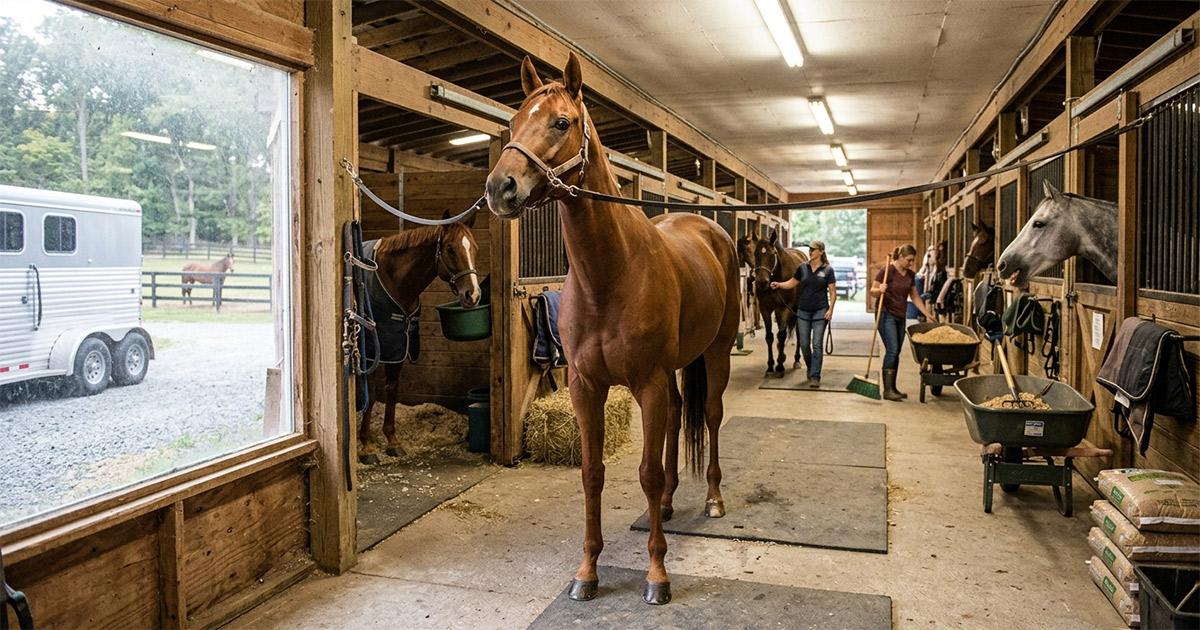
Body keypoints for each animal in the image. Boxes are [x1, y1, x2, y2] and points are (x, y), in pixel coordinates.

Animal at [357, 219, 482, 464]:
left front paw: (392, 441)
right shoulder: (373, 352)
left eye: (474, 248)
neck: (392, 280)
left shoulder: (397, 347)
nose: (472, 295)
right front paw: (367, 446)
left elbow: (392, 390)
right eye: (450, 249)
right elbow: (372, 394)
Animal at [485, 53, 739, 606]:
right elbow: (592, 473)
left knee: (709, 416)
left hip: (715, 353)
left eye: (562, 122)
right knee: (679, 417)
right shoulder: (587, 387)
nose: (499, 188)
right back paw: (666, 505)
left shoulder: (646, 383)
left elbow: (644, 472)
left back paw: (712, 499)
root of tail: (710, 229)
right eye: (513, 122)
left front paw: (657, 576)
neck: (611, 274)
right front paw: (587, 571)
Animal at [749, 230, 808, 376]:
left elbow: (781, 335)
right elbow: (770, 337)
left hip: (796, 309)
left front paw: (780, 365)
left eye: (772, 254)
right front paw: (770, 366)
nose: (762, 282)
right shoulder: (765, 309)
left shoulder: (784, 308)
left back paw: (796, 360)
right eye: (755, 254)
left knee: (798, 333)